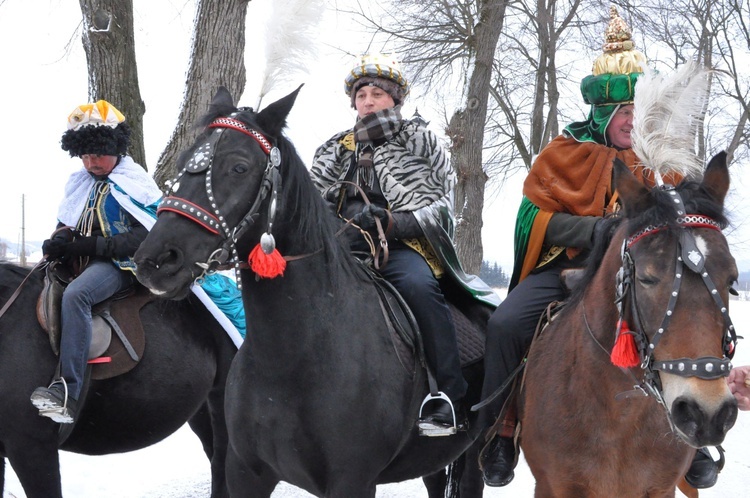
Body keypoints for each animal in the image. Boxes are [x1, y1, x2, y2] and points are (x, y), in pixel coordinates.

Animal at [134, 87, 494, 496]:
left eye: (239, 167)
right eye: (183, 162)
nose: (156, 260)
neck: (291, 360)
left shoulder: (352, 482)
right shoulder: (245, 473)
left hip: (475, 448)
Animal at [520, 153, 744, 498]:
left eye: (731, 280)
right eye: (647, 278)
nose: (707, 414)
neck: (620, 413)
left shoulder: (662, 488)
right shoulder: (550, 486)